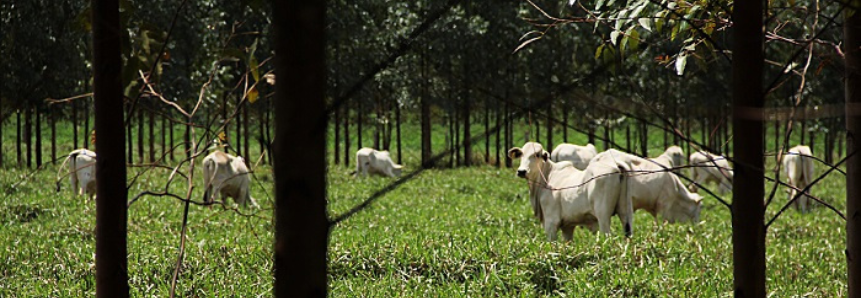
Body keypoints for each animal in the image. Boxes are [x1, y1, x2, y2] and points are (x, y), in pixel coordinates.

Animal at [504, 141, 632, 241]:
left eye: (537, 154)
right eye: (521, 154)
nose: (521, 171)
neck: (547, 176)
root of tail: (616, 167)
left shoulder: (551, 222)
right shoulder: (568, 227)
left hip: (603, 215)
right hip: (625, 212)